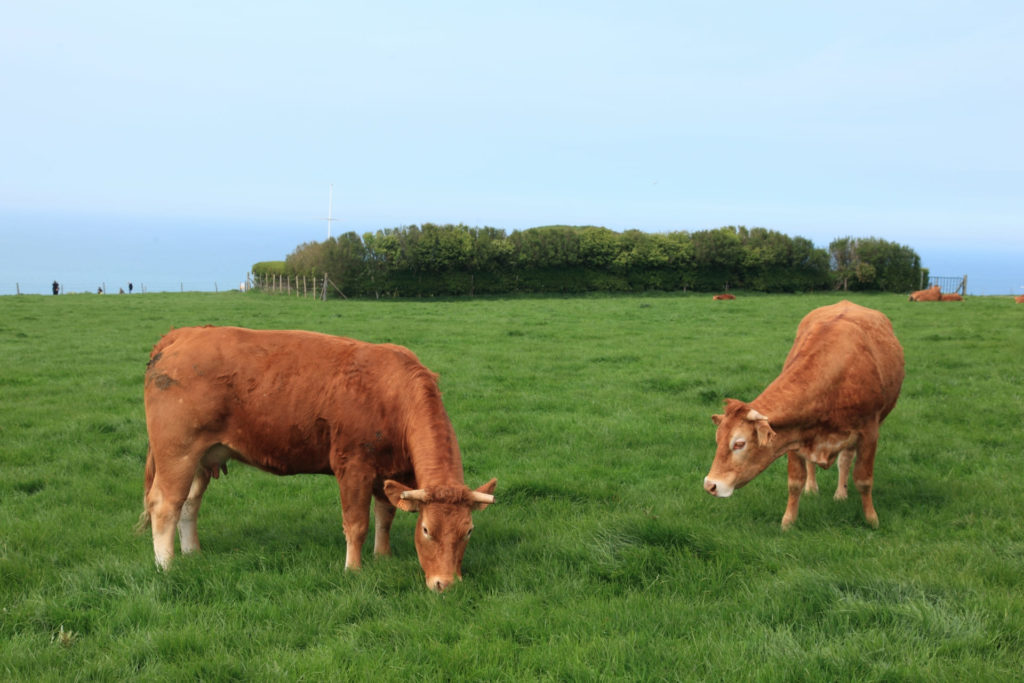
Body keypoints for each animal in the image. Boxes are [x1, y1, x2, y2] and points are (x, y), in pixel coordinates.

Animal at [138, 327, 497, 593]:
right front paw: (353, 569)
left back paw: (192, 553)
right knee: (165, 505)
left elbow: (384, 516)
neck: (393, 396)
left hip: (203, 456)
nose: (445, 585)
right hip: (178, 452)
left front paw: (383, 557)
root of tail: (185, 333)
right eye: (425, 530)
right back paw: (166, 566)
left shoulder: (388, 471)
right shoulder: (353, 467)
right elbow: (357, 523)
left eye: (468, 531)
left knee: (188, 504)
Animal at [704, 301, 905, 532]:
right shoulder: (792, 435)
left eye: (739, 443)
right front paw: (788, 521)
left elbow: (864, 481)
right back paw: (812, 488)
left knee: (845, 460)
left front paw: (872, 519)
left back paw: (841, 493)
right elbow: (795, 482)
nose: (710, 485)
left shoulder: (869, 432)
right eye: (718, 440)